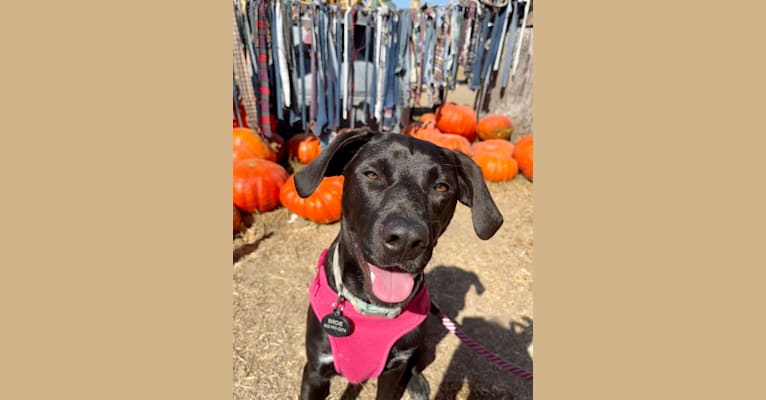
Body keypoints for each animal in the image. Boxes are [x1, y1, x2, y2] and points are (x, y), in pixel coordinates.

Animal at [296, 130, 504, 398]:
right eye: (371, 174)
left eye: (441, 186)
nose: (406, 239)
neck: (372, 310)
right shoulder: (315, 371)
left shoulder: (394, 369)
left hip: (421, 347)